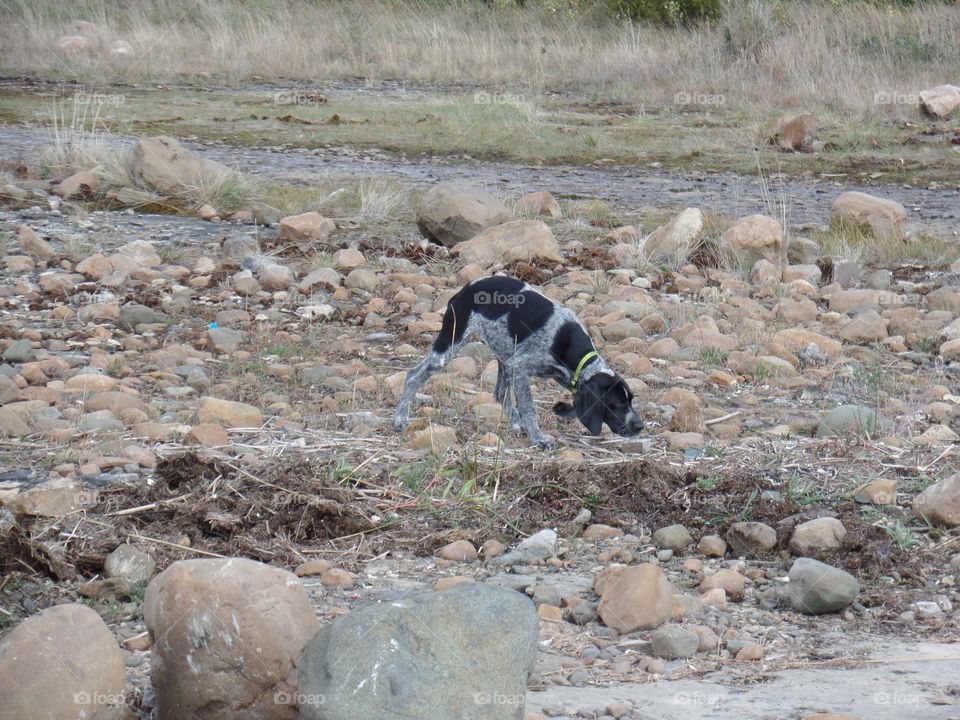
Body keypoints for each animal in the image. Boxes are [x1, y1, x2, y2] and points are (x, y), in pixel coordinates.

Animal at [390, 274, 644, 448]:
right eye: (617, 403)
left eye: (631, 400)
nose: (639, 426)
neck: (566, 342)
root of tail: (463, 290)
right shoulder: (521, 367)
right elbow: (529, 408)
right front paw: (539, 438)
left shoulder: (559, 376)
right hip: (449, 346)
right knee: (413, 376)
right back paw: (400, 418)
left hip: (504, 356)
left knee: (500, 393)